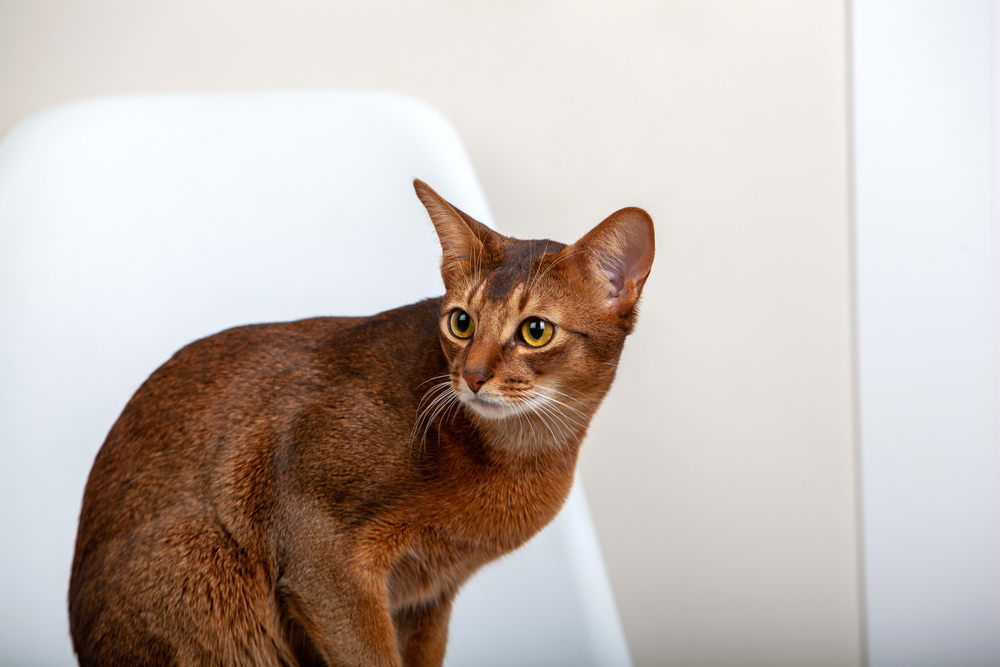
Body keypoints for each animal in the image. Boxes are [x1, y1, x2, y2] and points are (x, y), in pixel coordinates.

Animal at [66, 179, 652, 667]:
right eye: (461, 322)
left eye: (535, 331)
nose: (473, 376)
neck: (520, 454)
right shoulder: (320, 552)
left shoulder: (428, 598)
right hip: (202, 559)